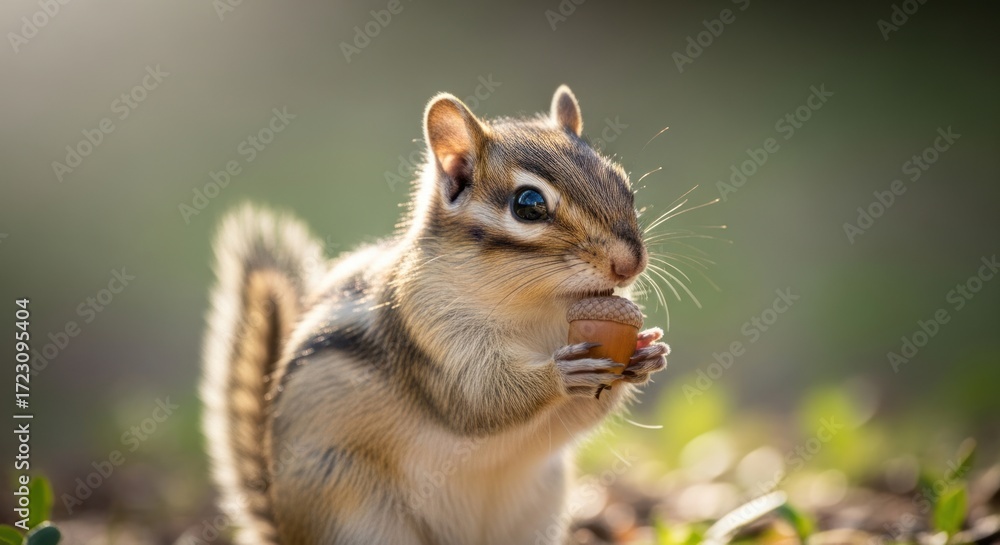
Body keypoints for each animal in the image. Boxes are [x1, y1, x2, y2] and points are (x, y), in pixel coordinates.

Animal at [200, 85, 670, 545]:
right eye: (529, 204)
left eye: (621, 181)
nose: (630, 264)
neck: (539, 309)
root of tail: (282, 528)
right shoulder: (426, 333)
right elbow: (479, 399)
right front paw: (563, 373)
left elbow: (581, 416)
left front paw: (648, 354)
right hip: (350, 512)